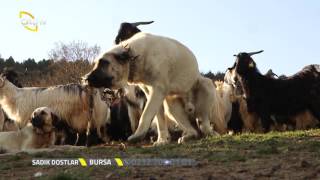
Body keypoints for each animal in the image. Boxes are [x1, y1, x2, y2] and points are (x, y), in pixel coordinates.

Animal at [84, 32, 218, 144]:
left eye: (104, 63)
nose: (85, 78)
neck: (135, 56)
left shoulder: (157, 90)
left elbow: (146, 114)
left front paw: (138, 135)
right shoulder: (151, 93)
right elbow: (159, 120)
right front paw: (162, 140)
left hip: (207, 86)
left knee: (204, 125)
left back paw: (212, 134)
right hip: (171, 106)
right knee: (193, 131)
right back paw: (188, 137)